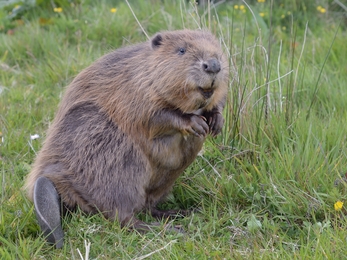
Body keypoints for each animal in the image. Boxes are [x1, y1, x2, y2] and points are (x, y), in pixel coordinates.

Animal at [23, 28, 230, 248]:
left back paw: (182, 211)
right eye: (181, 50)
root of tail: (49, 179)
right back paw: (169, 229)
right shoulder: (134, 89)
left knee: (147, 206)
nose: (213, 65)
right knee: (122, 215)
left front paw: (216, 121)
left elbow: (219, 100)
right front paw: (195, 123)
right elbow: (155, 116)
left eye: (217, 47)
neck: (143, 69)